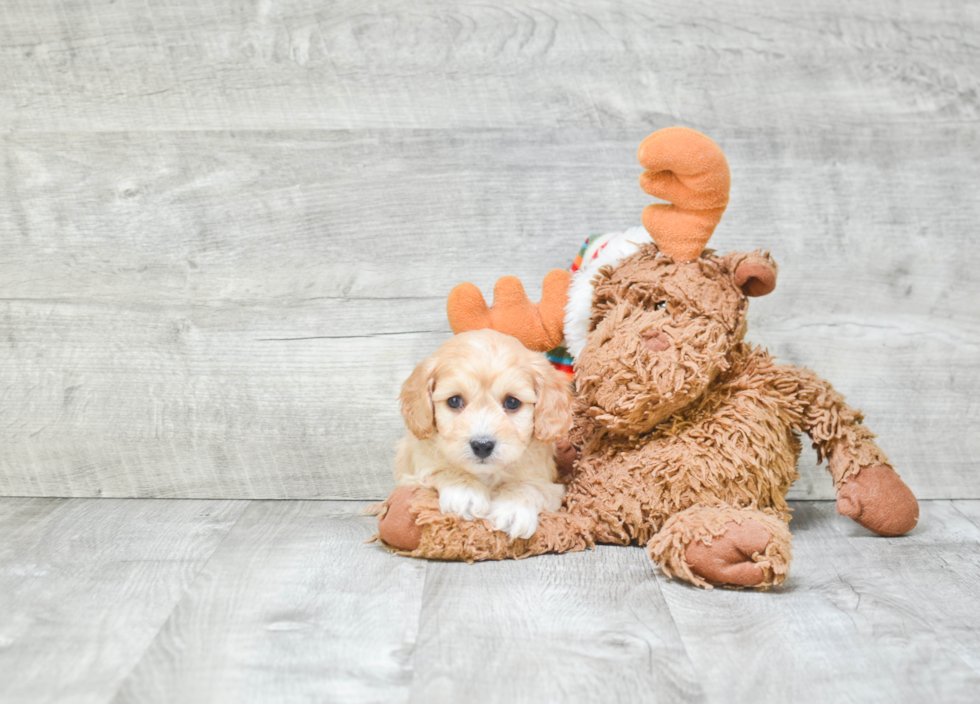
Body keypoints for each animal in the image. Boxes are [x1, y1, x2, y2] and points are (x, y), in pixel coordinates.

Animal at [392, 328, 572, 540]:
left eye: (512, 402)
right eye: (454, 401)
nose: (482, 445)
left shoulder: (549, 485)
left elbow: (530, 486)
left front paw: (513, 507)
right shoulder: (412, 471)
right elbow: (441, 469)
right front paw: (465, 491)